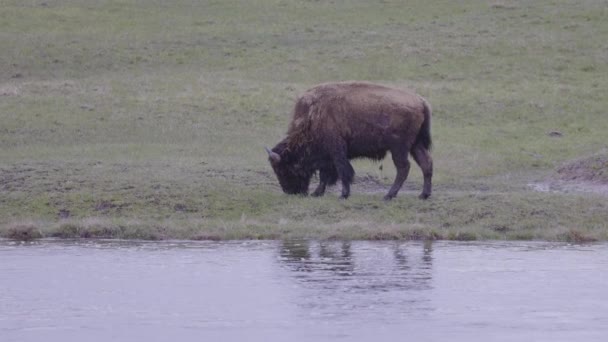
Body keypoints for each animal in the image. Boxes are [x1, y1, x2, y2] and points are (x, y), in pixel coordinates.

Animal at [266, 81, 432, 200]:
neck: (312, 117)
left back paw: (388, 196)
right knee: (426, 164)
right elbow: (325, 175)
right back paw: (423, 195)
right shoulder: (327, 156)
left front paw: (343, 194)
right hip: (415, 145)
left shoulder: (336, 150)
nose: (290, 191)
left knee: (403, 167)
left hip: (399, 148)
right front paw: (317, 193)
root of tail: (420, 101)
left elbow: (342, 170)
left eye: (284, 168)